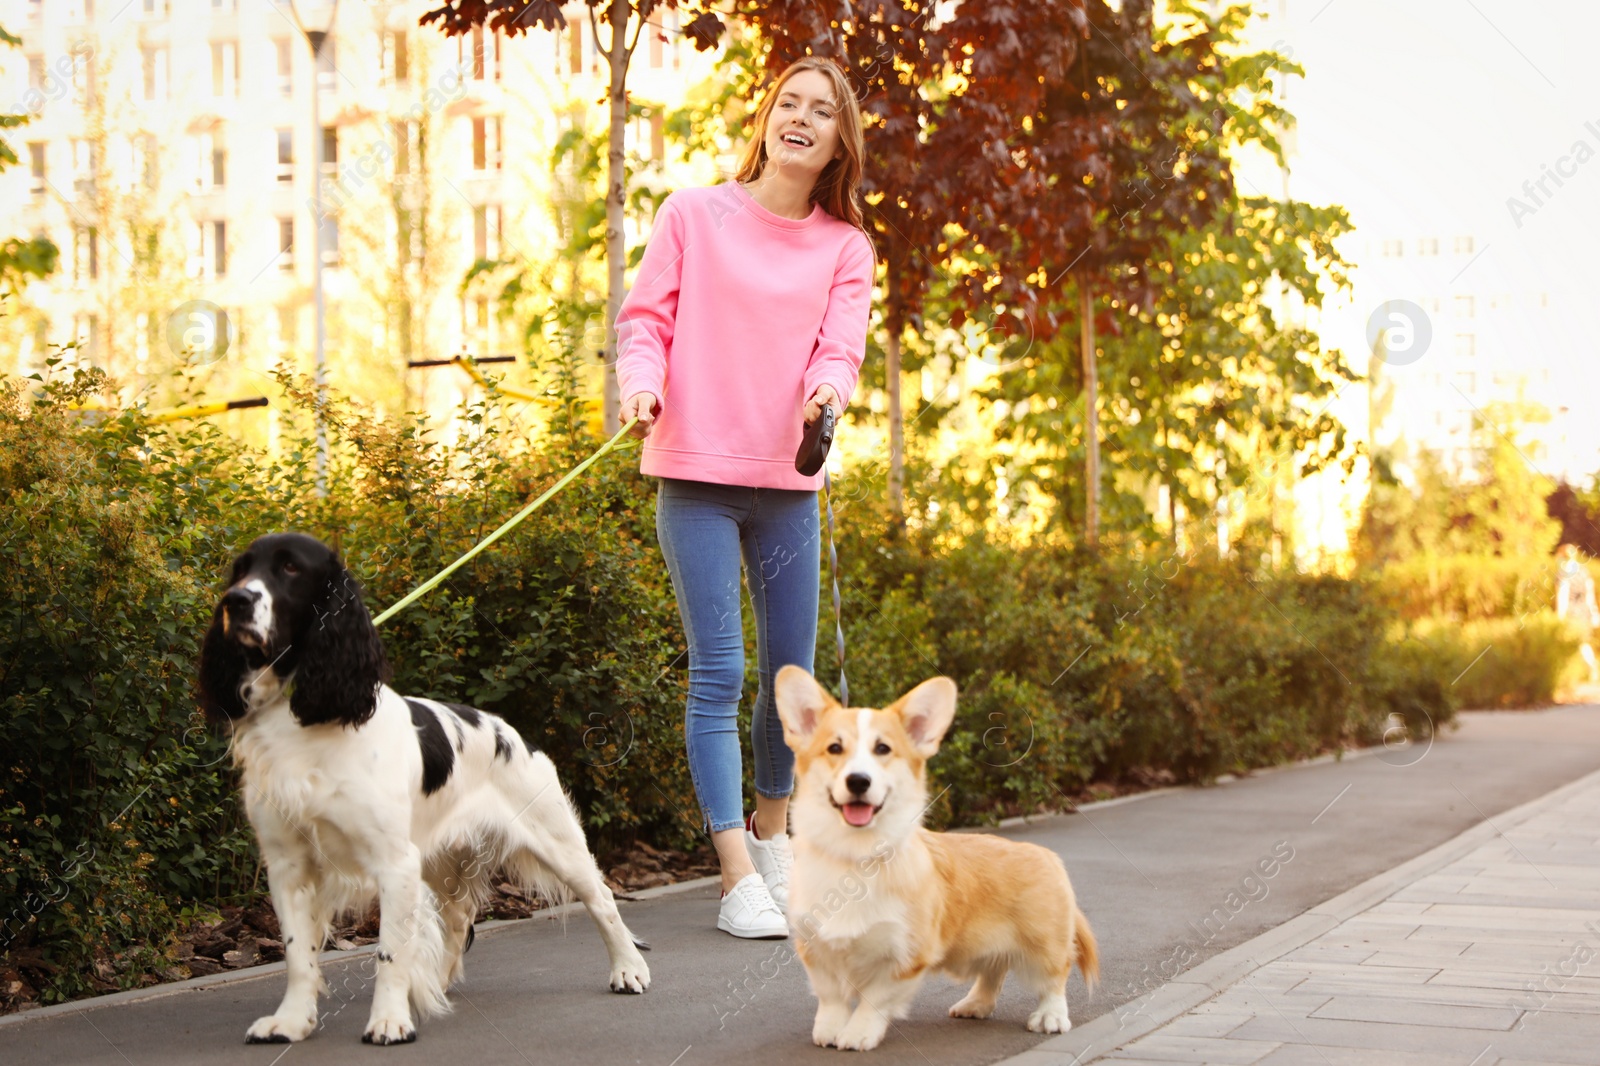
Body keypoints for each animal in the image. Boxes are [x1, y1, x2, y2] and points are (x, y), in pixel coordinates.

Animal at [774, 665, 1100, 1043]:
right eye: (834, 748)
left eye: (883, 748)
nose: (858, 781)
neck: (856, 855)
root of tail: (1047, 856)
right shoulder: (817, 949)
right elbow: (831, 997)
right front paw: (829, 1031)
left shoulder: (906, 956)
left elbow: (873, 999)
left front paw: (857, 1036)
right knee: (994, 969)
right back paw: (975, 1004)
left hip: (1043, 944)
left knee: (1054, 978)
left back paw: (1050, 1016)